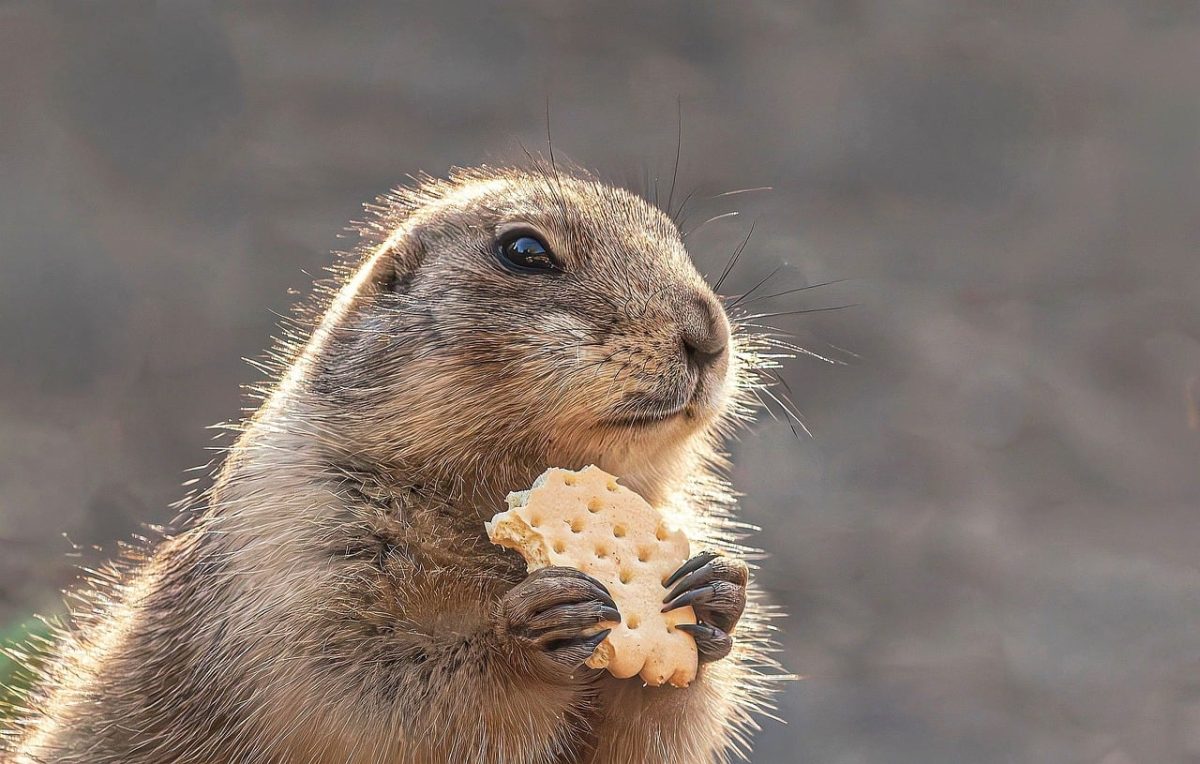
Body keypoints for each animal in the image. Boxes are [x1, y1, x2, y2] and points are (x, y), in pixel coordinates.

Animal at [5, 165, 784, 763]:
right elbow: (358, 689)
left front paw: (716, 597)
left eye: (676, 239)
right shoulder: (295, 550)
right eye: (524, 250)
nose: (708, 333)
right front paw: (531, 628)